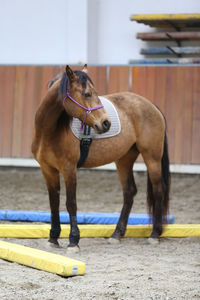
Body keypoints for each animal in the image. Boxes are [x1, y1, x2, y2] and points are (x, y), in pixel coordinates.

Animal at [31, 63, 170, 251]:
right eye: (87, 94)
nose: (105, 123)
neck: (49, 131)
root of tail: (151, 105)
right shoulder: (48, 170)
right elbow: (54, 203)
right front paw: (53, 238)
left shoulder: (69, 169)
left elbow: (71, 203)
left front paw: (73, 241)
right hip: (124, 160)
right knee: (129, 192)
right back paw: (116, 234)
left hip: (152, 158)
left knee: (158, 190)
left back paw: (154, 234)